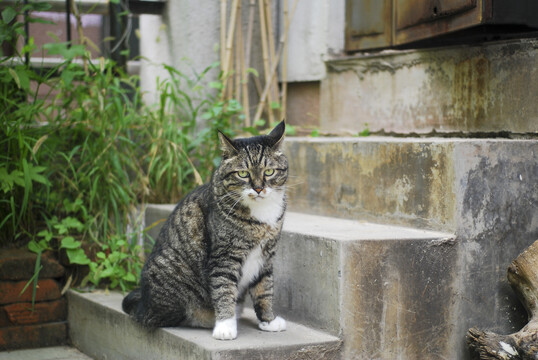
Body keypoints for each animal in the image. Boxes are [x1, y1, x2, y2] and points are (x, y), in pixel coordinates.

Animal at [122, 121, 288, 340]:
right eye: (243, 174)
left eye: (269, 172)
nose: (259, 189)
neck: (261, 213)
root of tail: (142, 302)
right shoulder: (224, 256)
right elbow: (224, 289)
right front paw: (225, 326)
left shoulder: (266, 256)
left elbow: (265, 290)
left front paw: (268, 321)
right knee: (163, 318)